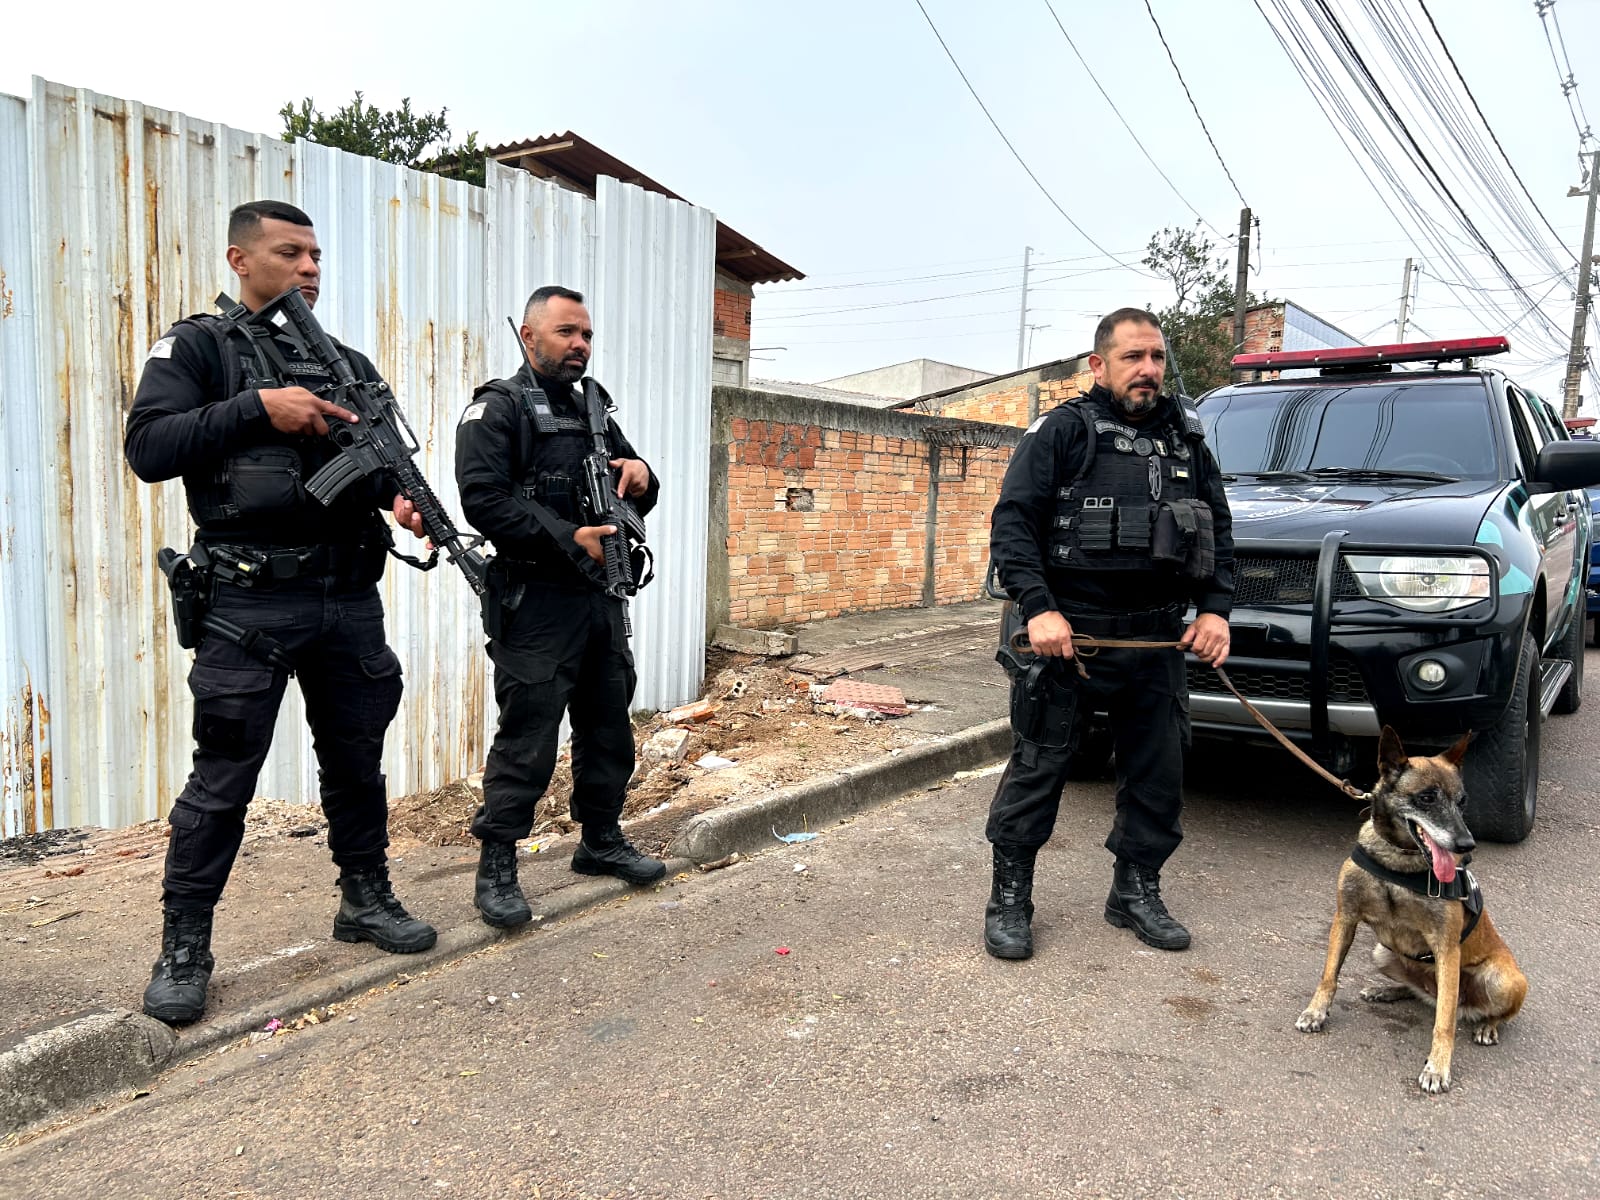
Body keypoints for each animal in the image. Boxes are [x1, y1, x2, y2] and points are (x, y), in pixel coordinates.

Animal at [1295, 726, 1527, 1093]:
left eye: (1462, 801)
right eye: (1427, 798)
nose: (1467, 845)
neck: (1398, 863)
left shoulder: (1446, 949)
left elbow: (1444, 1022)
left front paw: (1438, 1067)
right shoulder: (1344, 919)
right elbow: (1329, 975)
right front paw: (1316, 1011)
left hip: (1505, 979)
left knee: (1479, 1010)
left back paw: (1488, 1026)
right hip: (1381, 952)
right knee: (1419, 991)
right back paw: (1386, 990)